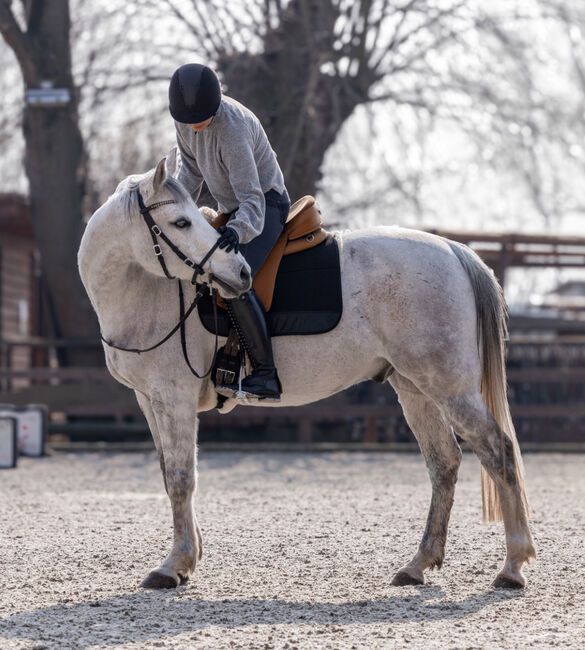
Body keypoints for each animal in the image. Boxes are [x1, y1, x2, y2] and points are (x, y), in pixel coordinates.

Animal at [77, 154, 532, 588]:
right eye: (181, 221)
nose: (240, 274)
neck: (145, 289)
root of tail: (454, 251)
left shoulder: (174, 397)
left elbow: (180, 477)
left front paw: (175, 565)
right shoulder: (149, 400)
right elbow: (168, 473)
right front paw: (188, 558)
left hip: (451, 388)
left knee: (499, 451)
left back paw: (512, 566)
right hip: (416, 388)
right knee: (444, 463)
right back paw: (418, 564)